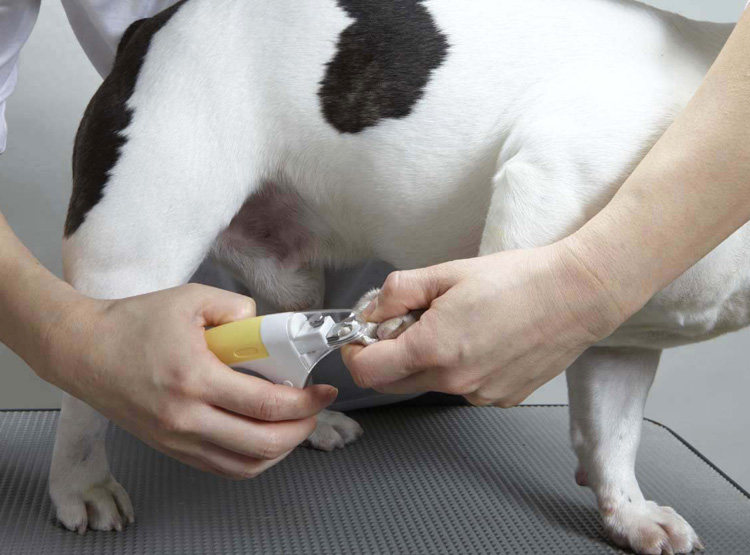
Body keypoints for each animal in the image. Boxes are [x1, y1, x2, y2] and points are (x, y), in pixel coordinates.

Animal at [52, 1, 749, 552]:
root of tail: (149, 28)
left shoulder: (620, 339)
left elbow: (615, 434)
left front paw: (628, 515)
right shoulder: (556, 171)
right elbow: (503, 267)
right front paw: (412, 320)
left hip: (286, 273)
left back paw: (309, 419)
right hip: (135, 251)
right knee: (95, 375)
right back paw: (81, 484)